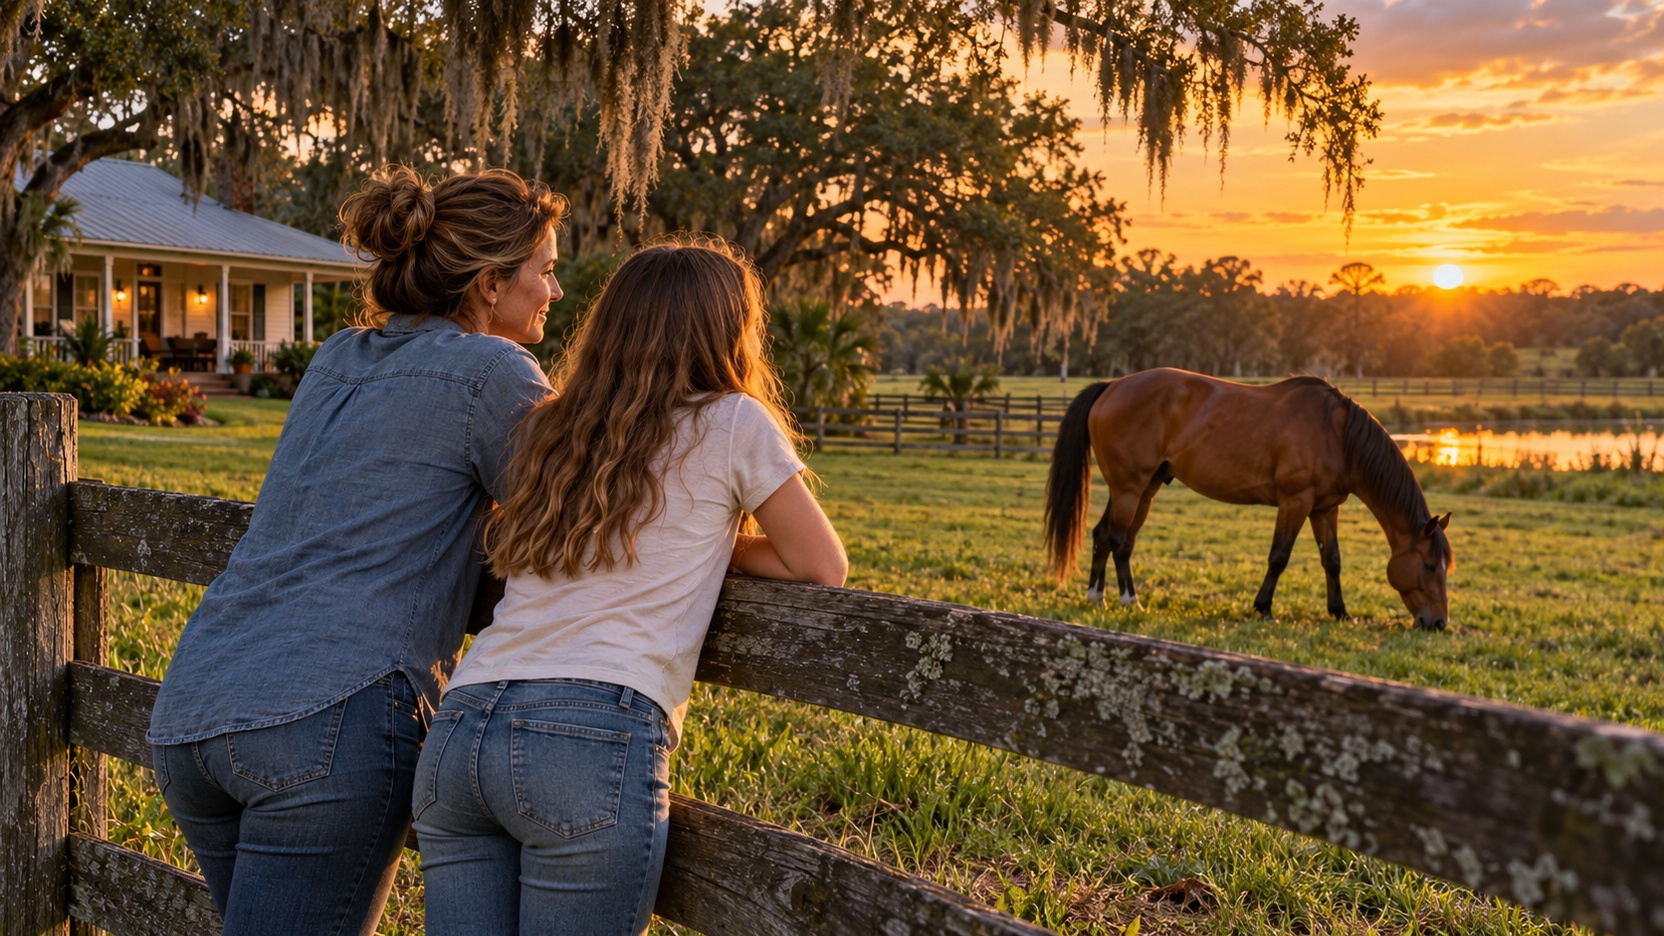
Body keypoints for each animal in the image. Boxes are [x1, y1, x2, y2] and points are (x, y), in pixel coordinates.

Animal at [1043, 368, 1454, 629]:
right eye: (1429, 566)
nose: (1437, 623)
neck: (1338, 435)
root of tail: (1112, 386)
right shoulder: (1295, 501)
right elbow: (1279, 557)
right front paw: (1264, 609)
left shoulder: (1325, 508)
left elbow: (1332, 561)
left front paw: (1340, 612)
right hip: (1130, 487)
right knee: (1117, 540)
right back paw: (1127, 599)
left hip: (1144, 487)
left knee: (1107, 536)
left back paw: (1099, 597)